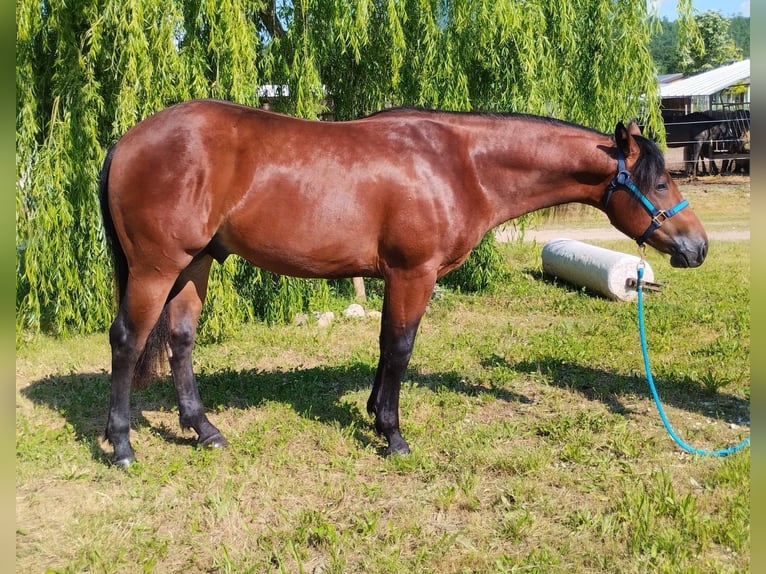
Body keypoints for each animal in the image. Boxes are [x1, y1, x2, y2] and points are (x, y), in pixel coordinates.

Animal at [99, 99, 708, 467]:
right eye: (659, 181)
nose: (697, 247)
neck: (460, 164)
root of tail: (128, 140)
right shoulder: (414, 273)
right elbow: (399, 347)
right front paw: (392, 434)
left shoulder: (396, 277)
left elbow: (384, 346)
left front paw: (373, 413)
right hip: (156, 267)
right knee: (128, 341)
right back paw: (122, 444)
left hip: (196, 263)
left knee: (180, 341)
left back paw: (203, 430)